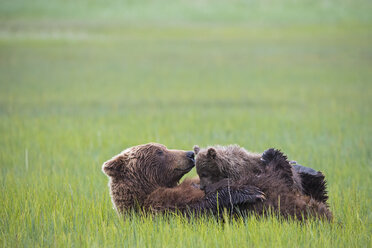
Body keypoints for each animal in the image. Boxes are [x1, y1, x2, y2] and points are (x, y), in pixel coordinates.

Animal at [101, 143, 264, 215]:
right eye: (159, 152)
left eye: (164, 147)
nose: (190, 154)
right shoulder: (160, 205)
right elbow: (199, 205)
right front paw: (250, 192)